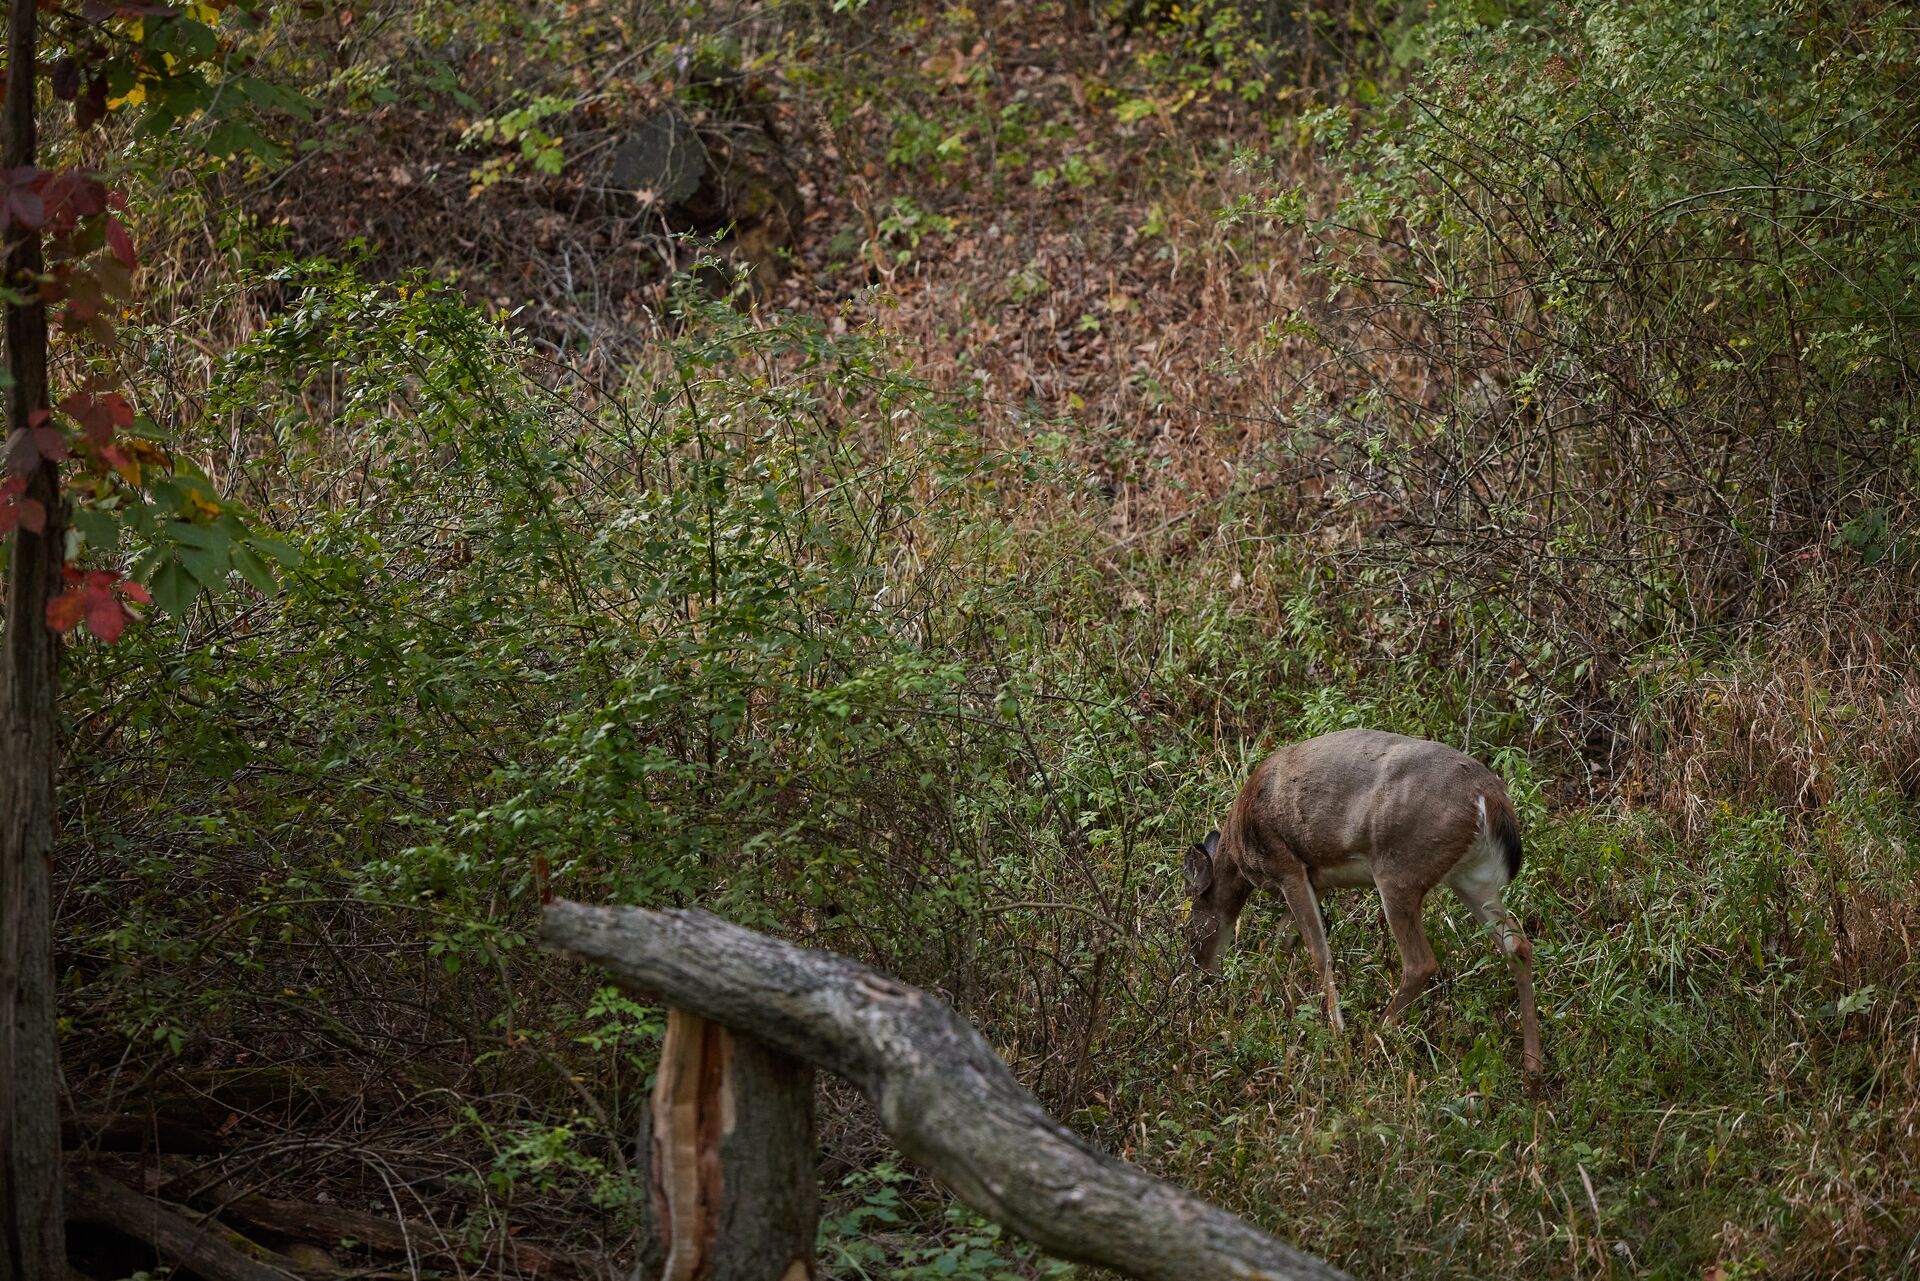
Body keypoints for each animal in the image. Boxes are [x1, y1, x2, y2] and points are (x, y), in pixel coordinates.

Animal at [1182, 729, 1543, 1083]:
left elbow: (1317, 952)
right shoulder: (1317, 880)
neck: (1239, 848)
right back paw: (1532, 1062)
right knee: (1517, 944)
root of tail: (1488, 796)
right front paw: (1260, 998)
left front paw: (1336, 1032)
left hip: (1399, 870)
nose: (1201, 979)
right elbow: (1281, 942)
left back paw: (1373, 1039)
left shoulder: (1286, 865)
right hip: (1471, 877)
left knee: (1421, 962)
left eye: (1190, 931)